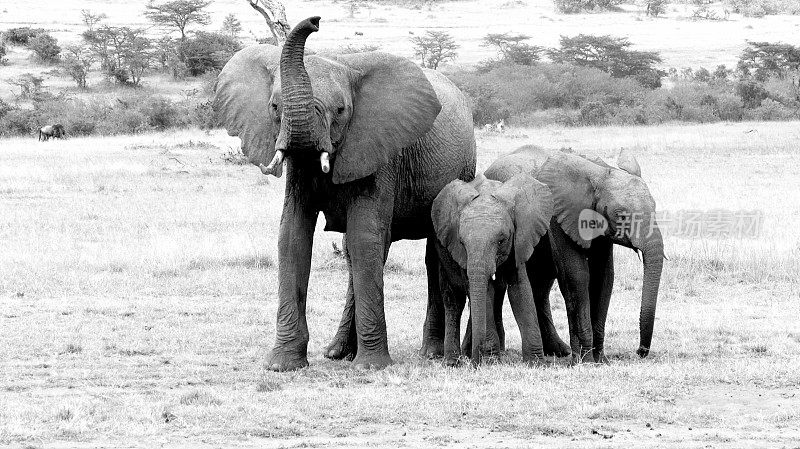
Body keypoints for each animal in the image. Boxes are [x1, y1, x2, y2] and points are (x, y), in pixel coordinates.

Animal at [214, 16, 476, 372]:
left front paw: (372, 366)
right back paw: (338, 352)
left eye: (340, 110)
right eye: (274, 107)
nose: (315, 21)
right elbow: (292, 234)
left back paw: (430, 354)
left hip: (462, 170)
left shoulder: (379, 152)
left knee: (430, 254)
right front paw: (283, 364)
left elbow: (365, 236)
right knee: (354, 254)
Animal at [432, 172, 564, 364]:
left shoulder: (518, 241)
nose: (475, 363)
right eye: (462, 243)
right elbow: (485, 292)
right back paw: (453, 361)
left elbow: (520, 290)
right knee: (454, 300)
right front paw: (491, 360)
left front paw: (535, 362)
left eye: (501, 241)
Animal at [484, 145, 664, 362]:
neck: (600, 174)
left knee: (542, 284)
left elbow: (603, 278)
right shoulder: (559, 217)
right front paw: (585, 360)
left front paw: (600, 360)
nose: (640, 352)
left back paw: (559, 351)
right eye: (620, 216)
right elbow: (577, 276)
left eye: (655, 207)